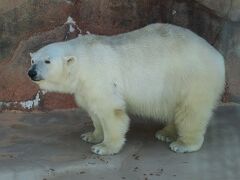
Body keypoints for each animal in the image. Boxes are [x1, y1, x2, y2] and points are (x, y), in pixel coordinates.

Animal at [27, 23, 225, 155]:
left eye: (47, 61)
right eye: (33, 60)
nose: (31, 72)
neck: (84, 58)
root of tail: (217, 56)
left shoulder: (99, 77)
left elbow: (111, 112)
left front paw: (104, 147)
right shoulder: (85, 88)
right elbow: (94, 110)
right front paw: (91, 135)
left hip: (193, 77)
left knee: (191, 110)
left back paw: (183, 144)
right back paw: (165, 133)